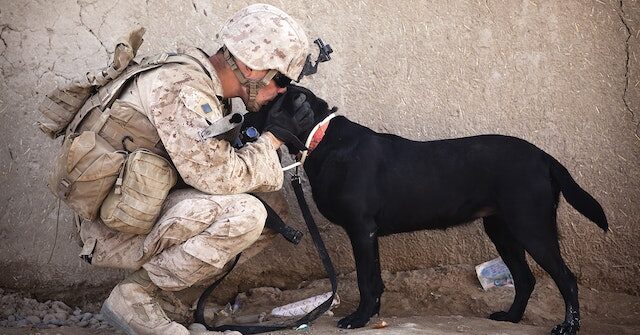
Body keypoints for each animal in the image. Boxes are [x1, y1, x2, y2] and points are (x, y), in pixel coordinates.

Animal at [254, 86, 604, 335]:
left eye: (263, 105)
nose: (242, 118)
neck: (322, 137)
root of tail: (543, 156)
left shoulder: (361, 230)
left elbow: (366, 280)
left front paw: (359, 318)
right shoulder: (369, 234)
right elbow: (375, 279)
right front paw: (371, 315)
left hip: (531, 227)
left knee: (566, 278)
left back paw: (568, 327)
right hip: (502, 230)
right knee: (526, 279)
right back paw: (511, 317)